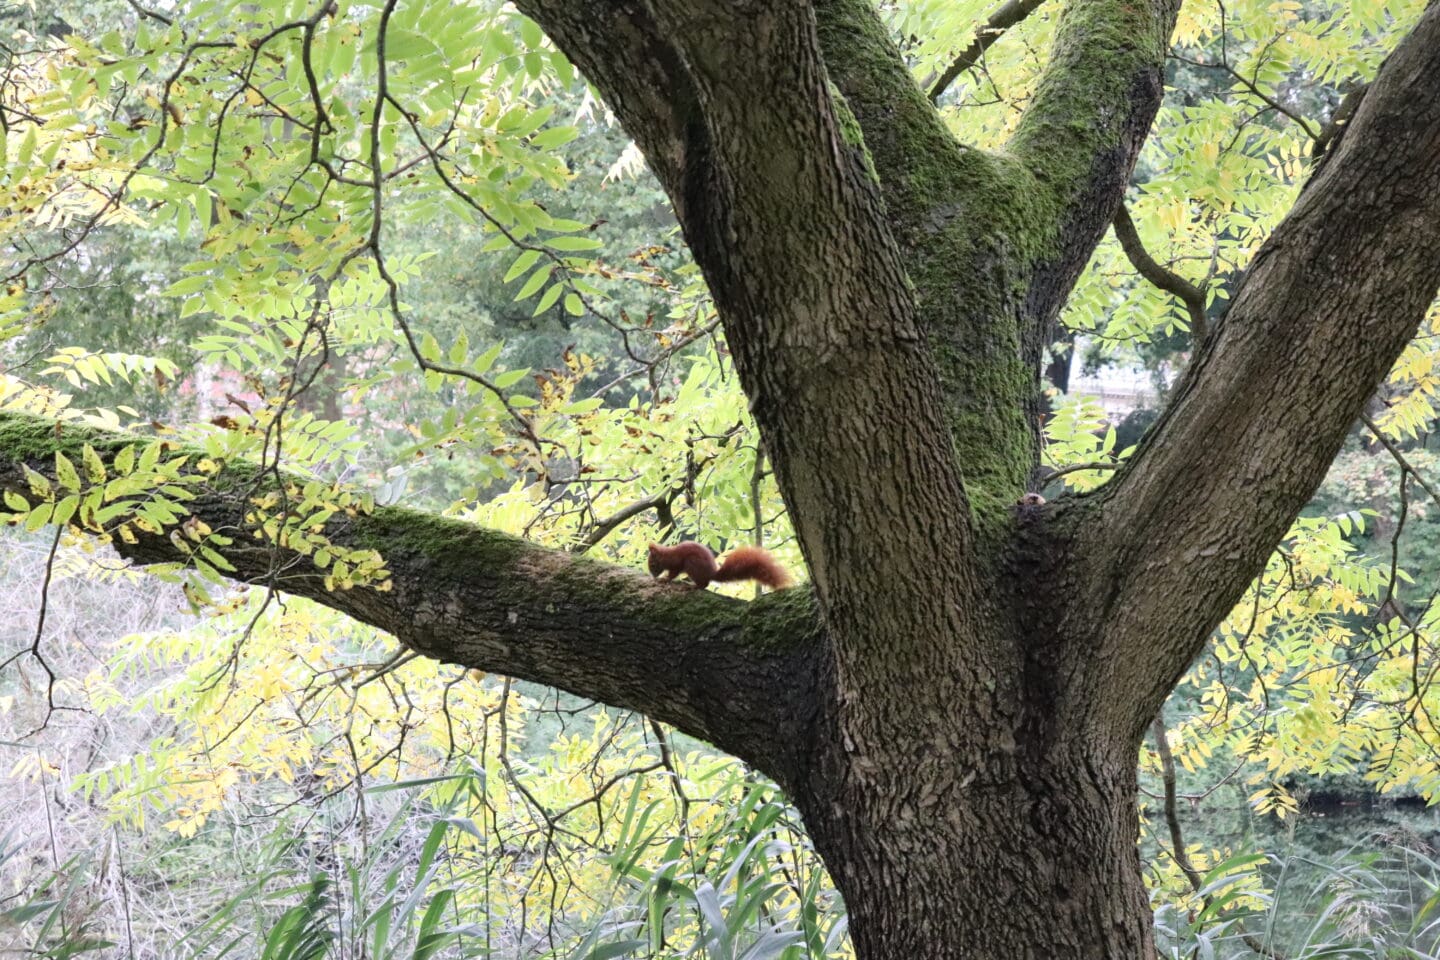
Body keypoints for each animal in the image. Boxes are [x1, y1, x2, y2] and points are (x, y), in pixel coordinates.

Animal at [646, 542, 792, 591]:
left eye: (653, 565)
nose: (653, 576)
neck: (666, 555)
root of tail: (711, 573)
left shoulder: (676, 563)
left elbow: (673, 573)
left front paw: (665, 578)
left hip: (692, 564)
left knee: (704, 584)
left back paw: (694, 586)